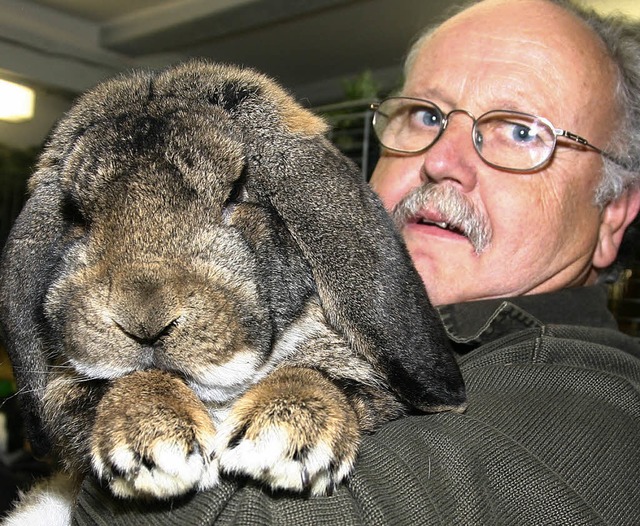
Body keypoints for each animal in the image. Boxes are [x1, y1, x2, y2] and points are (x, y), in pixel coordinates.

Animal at [0, 60, 462, 524]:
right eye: (77, 215)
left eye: (237, 193)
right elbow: (129, 380)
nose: (144, 320)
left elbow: (318, 373)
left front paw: (281, 439)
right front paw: (157, 443)